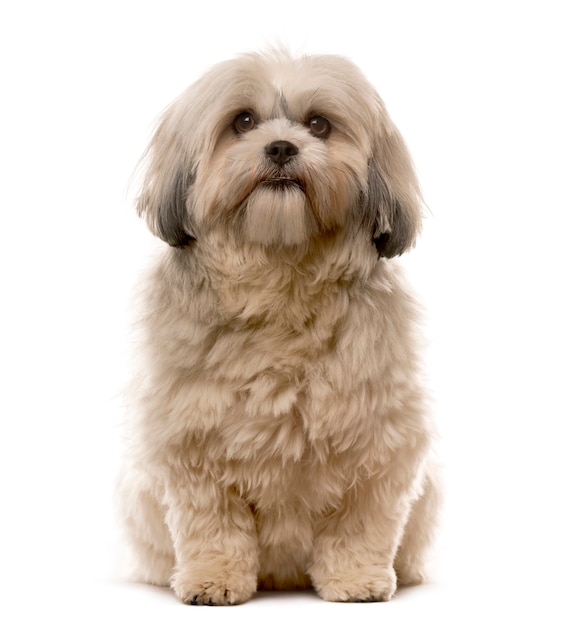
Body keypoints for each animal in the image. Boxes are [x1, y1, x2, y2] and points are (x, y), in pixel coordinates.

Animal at [117, 48, 438, 604]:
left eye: (319, 124)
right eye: (243, 121)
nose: (282, 146)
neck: (282, 277)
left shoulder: (379, 439)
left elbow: (359, 523)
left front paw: (355, 579)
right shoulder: (191, 441)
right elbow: (213, 525)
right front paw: (214, 578)